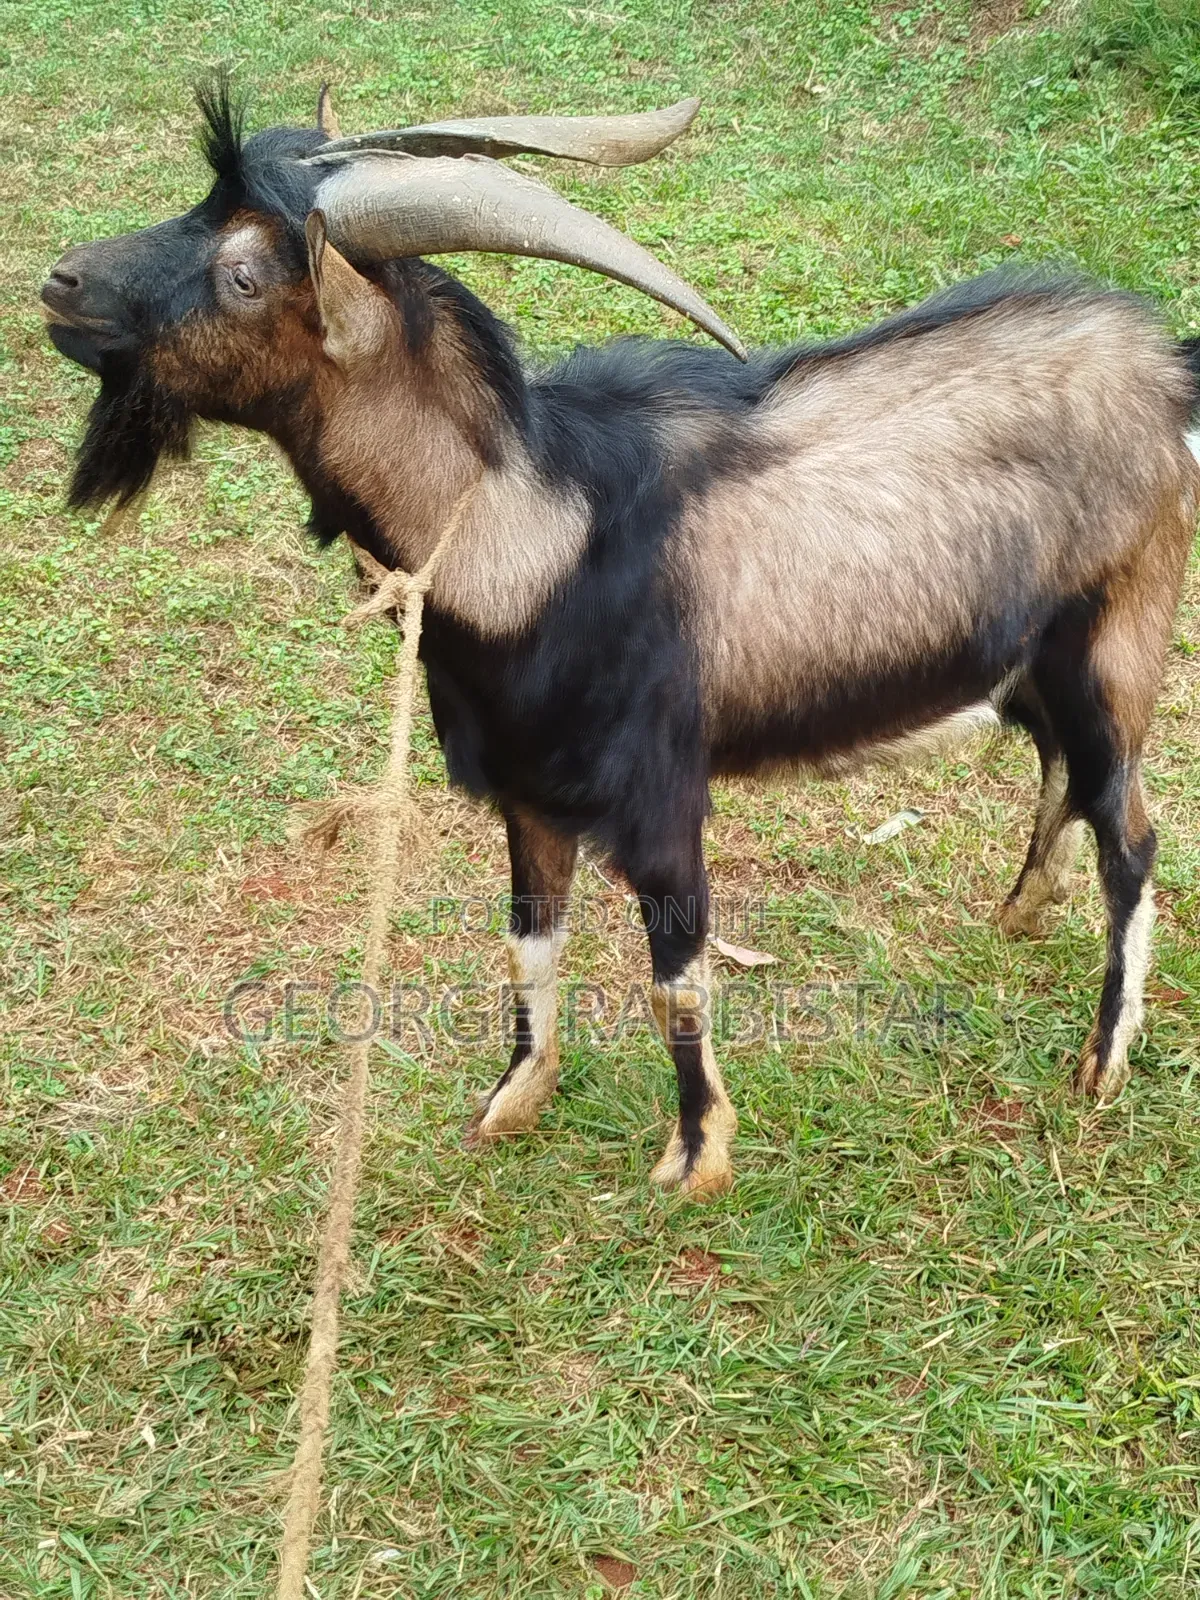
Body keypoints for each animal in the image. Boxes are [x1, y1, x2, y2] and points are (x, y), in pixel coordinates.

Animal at [42, 83, 1200, 1197]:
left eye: (242, 274)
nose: (60, 281)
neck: (531, 537)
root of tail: (1166, 368)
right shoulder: (526, 790)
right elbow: (527, 944)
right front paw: (513, 1097)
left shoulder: (659, 795)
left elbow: (674, 978)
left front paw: (695, 1157)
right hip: (1036, 663)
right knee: (1061, 773)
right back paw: (1022, 910)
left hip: (1115, 645)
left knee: (1132, 835)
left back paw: (1101, 1058)